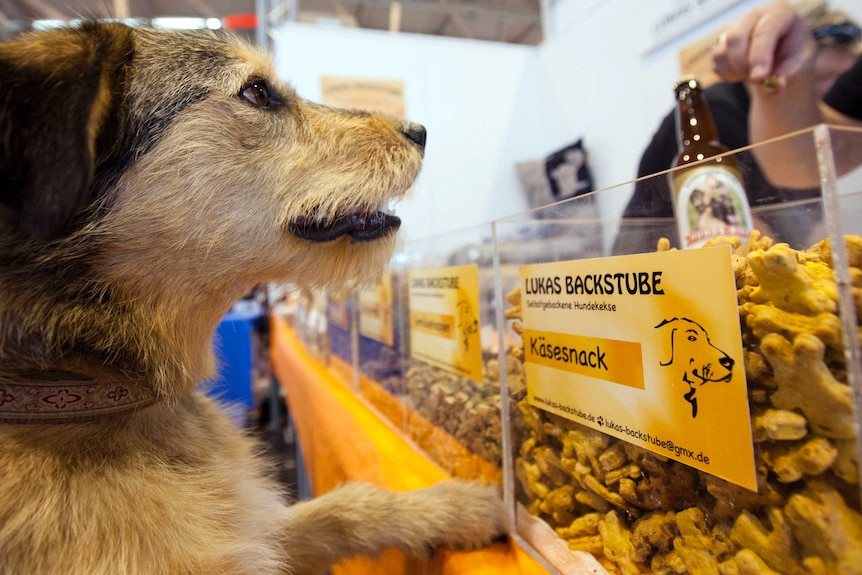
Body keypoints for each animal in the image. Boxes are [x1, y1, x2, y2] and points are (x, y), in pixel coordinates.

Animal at [0, 20, 506, 572]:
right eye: (257, 93)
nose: (420, 132)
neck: (81, 379)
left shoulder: (265, 533)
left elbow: (349, 507)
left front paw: (456, 505)